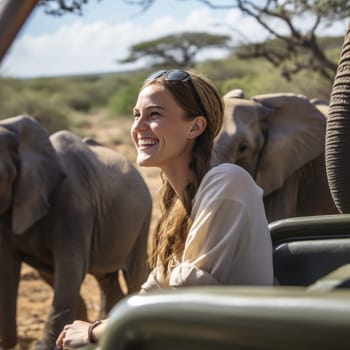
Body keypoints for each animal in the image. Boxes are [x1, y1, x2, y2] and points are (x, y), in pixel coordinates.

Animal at [0, 115, 152, 350]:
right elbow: (7, 269)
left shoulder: (75, 205)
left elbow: (71, 267)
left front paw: (45, 346)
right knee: (102, 277)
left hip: (143, 217)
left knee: (134, 272)